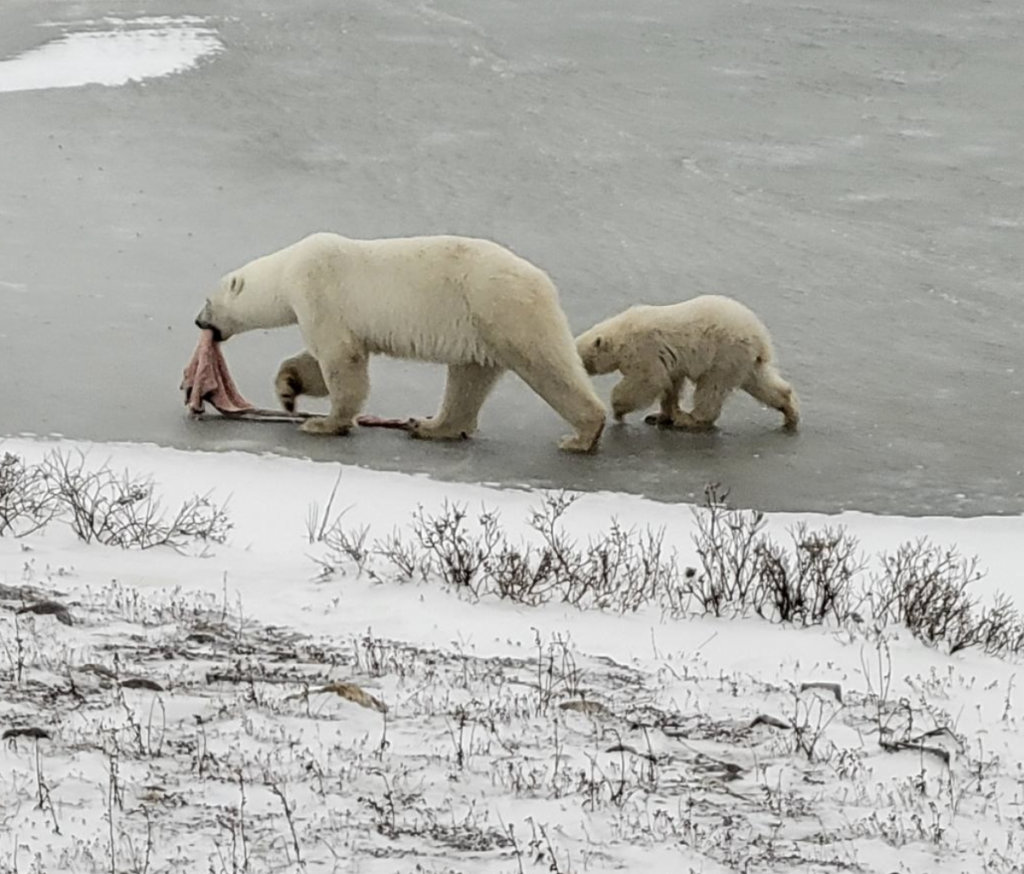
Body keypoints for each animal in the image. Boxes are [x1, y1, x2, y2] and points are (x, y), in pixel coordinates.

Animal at [194, 232, 607, 452]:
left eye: (208, 301)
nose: (198, 321)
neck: (286, 270)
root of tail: (543, 281)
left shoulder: (319, 291)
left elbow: (340, 359)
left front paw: (324, 424)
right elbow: (322, 360)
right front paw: (288, 388)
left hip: (503, 309)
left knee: (546, 366)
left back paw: (582, 434)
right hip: (478, 326)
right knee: (468, 379)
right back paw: (430, 425)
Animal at [574, 294, 800, 432]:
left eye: (580, 359)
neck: (621, 334)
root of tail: (761, 337)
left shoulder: (643, 350)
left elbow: (646, 381)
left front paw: (618, 410)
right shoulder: (667, 360)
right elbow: (670, 384)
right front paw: (660, 415)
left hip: (724, 355)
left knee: (711, 389)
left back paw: (690, 419)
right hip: (744, 360)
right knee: (761, 383)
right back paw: (790, 412)